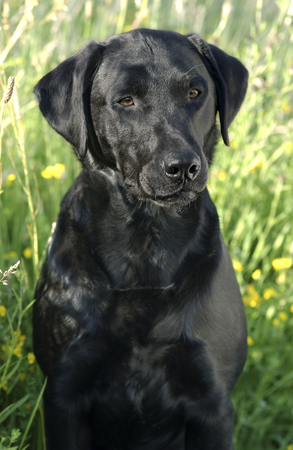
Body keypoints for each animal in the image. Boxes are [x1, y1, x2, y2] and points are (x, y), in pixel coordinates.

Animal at [34, 29, 248, 448]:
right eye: (126, 100)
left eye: (195, 93)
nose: (183, 166)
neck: (145, 244)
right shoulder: (63, 395)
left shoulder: (213, 403)